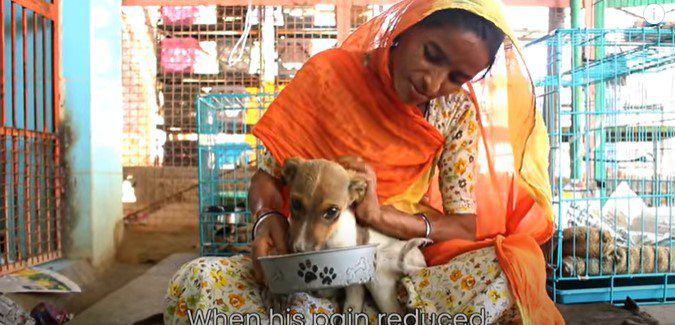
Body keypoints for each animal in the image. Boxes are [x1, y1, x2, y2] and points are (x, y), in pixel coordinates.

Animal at [280, 158, 428, 314]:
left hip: (378, 279)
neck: (329, 240)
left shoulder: (354, 280)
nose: (300, 249)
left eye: (332, 211)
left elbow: (352, 304)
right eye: (295, 203)